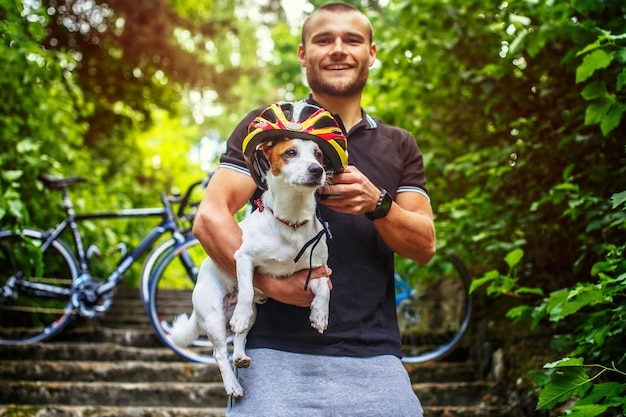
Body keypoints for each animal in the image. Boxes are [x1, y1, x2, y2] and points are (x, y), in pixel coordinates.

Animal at [166, 136, 332, 396]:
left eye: (318, 155)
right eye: (290, 153)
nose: (317, 170)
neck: (292, 222)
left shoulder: (318, 270)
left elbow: (324, 291)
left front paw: (320, 314)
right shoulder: (244, 258)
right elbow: (246, 290)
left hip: (253, 315)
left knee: (239, 337)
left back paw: (240, 356)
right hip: (213, 316)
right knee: (219, 352)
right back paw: (232, 384)